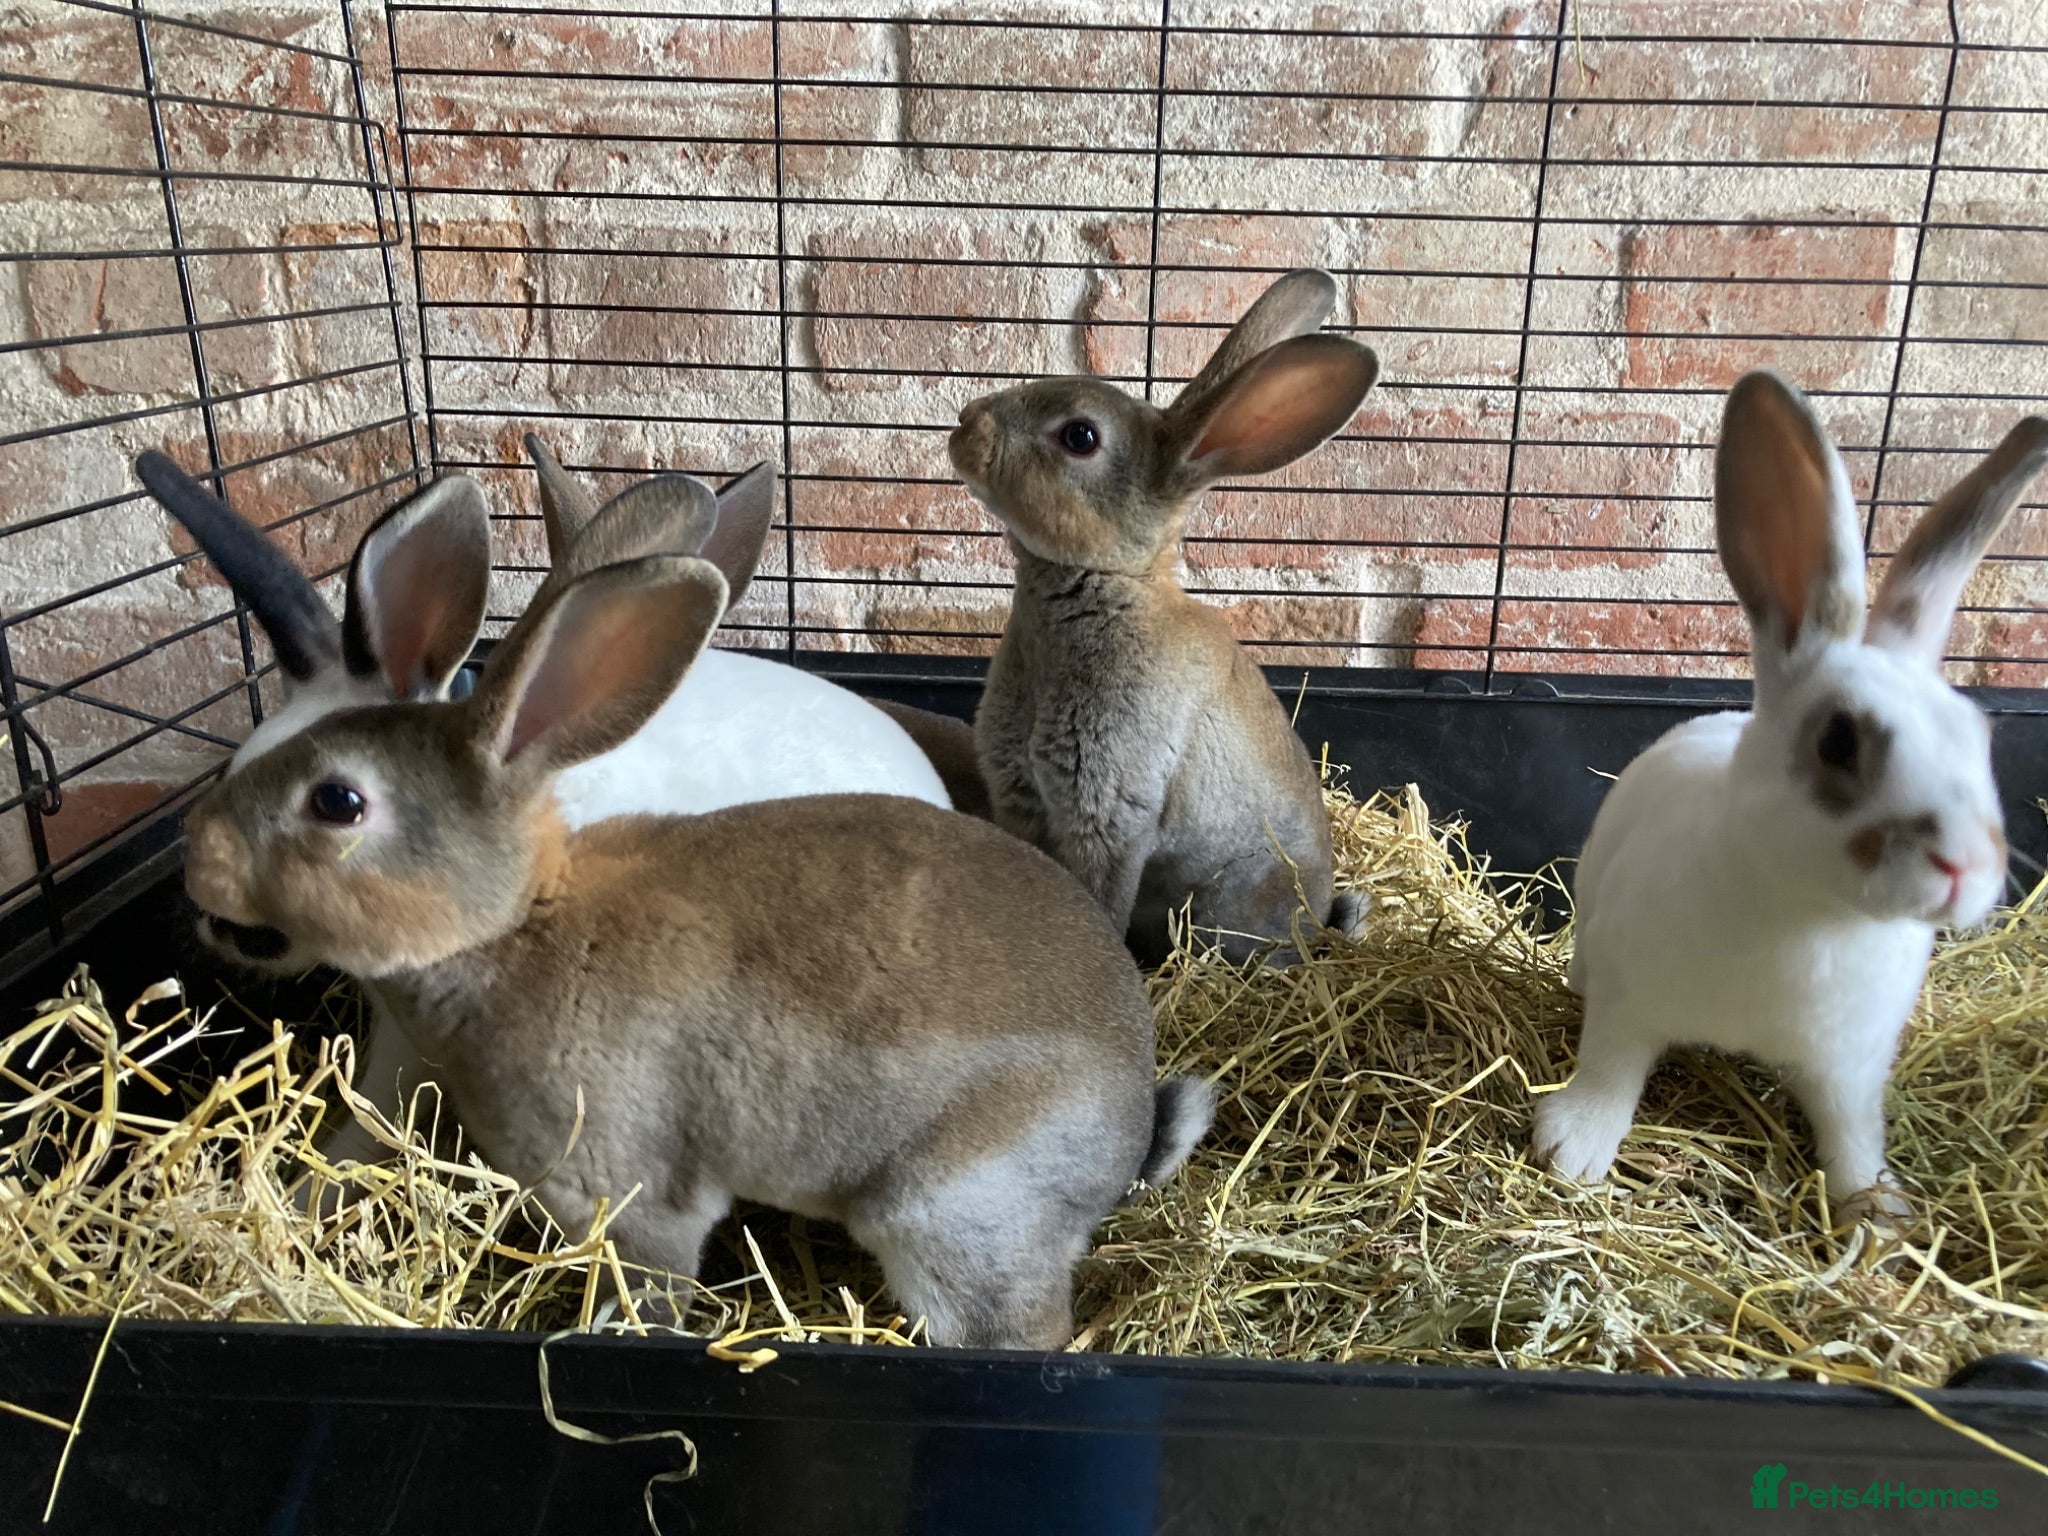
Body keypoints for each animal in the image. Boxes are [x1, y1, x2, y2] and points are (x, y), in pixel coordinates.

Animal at [178, 547, 1215, 1350]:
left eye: (337, 801)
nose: (199, 859)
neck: (517, 924)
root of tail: (1128, 1134)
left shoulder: (635, 1196)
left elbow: (655, 1283)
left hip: (951, 1219)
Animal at [947, 269, 1378, 966]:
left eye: (1079, 436)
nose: (966, 425)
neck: (1109, 585)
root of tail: (1316, 930)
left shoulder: (1111, 811)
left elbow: (1101, 896)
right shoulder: (1022, 796)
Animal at [1533, 370, 2048, 1222]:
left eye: (1979, 736)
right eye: (1838, 740)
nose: (1965, 867)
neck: (1815, 919)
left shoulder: (1852, 1068)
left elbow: (1852, 1136)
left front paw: (1879, 1214)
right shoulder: (1627, 1002)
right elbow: (1611, 1071)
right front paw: (1572, 1148)